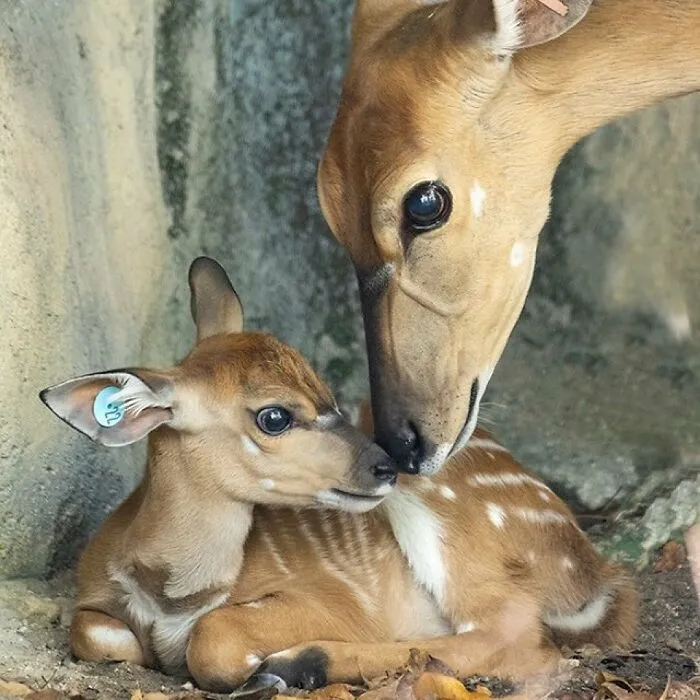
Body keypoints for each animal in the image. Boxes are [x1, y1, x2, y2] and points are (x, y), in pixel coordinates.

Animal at [40, 256, 637, 693]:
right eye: (274, 415)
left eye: (324, 387)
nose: (385, 465)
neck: (173, 596)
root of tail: (595, 574)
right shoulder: (96, 605)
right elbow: (97, 634)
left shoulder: (330, 602)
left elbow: (216, 636)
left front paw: (264, 673)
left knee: (517, 640)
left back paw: (300, 664)